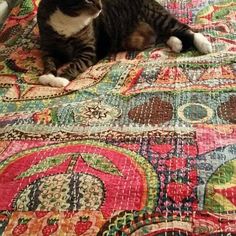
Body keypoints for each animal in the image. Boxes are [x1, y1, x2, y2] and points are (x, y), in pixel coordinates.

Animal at [37, 0, 213, 87]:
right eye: (87, 0)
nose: (100, 7)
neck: (69, 19)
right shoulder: (49, 48)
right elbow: (48, 61)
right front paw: (48, 76)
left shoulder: (88, 50)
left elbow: (76, 64)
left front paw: (61, 79)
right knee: (168, 35)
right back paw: (176, 44)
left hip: (158, 18)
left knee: (186, 29)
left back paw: (204, 44)